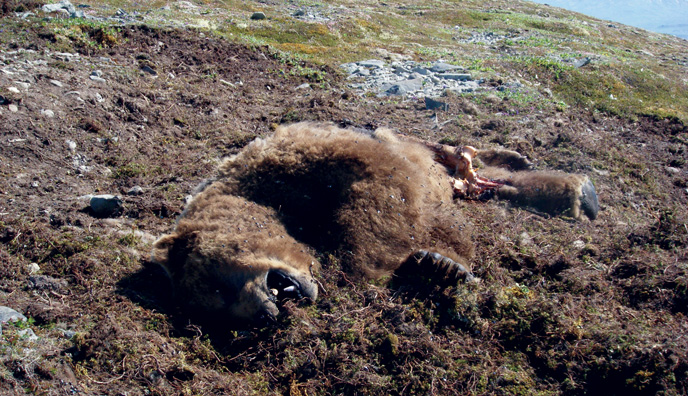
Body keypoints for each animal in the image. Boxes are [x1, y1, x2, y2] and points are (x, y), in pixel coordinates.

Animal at [152, 123, 596, 324]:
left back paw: (575, 189)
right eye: (220, 308)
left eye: (218, 284)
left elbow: (380, 208)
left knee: (468, 158)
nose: (266, 311)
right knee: (481, 182)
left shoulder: (320, 157)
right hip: (457, 179)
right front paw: (436, 264)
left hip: (426, 149)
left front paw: (427, 263)